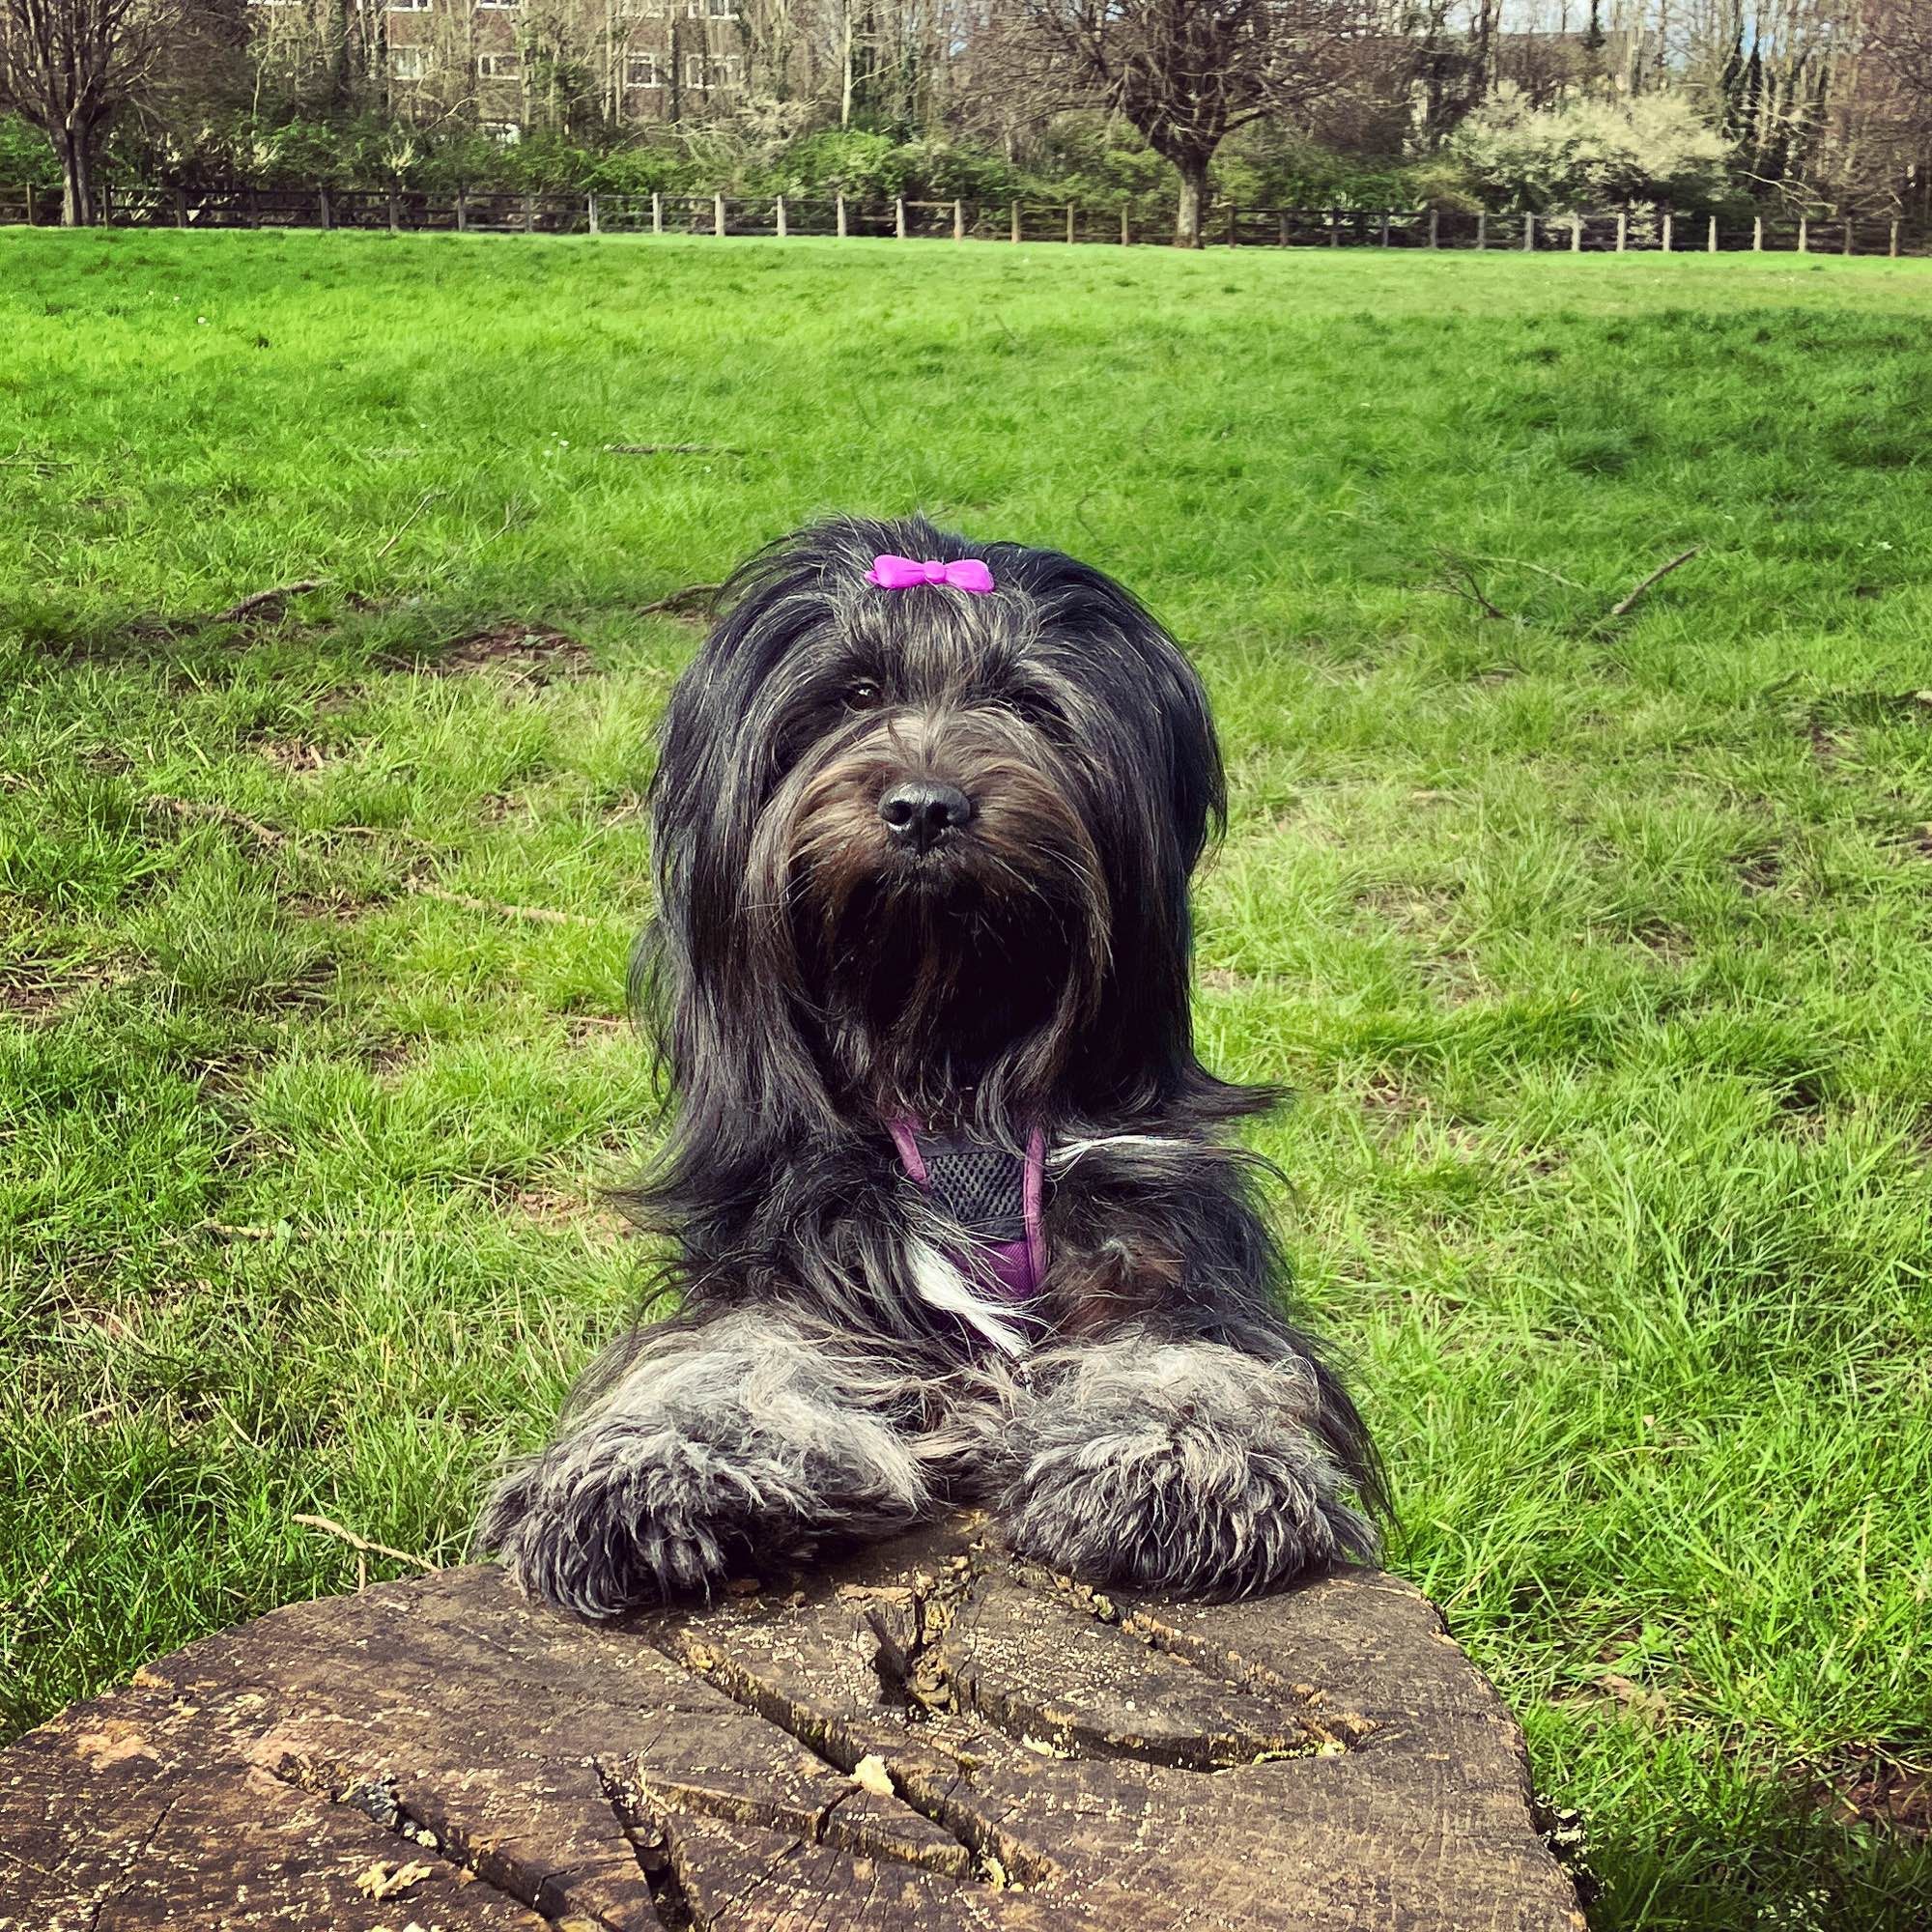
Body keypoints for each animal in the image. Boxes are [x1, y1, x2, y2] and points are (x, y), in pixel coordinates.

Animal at [483, 514, 1391, 1615]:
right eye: (852, 695)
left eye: (1026, 703)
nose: (924, 807)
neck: (947, 1052)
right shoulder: (801, 1239)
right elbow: (732, 1351)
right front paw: (663, 1469)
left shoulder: (1155, 1228)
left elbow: (1187, 1351)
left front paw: (1175, 1462)